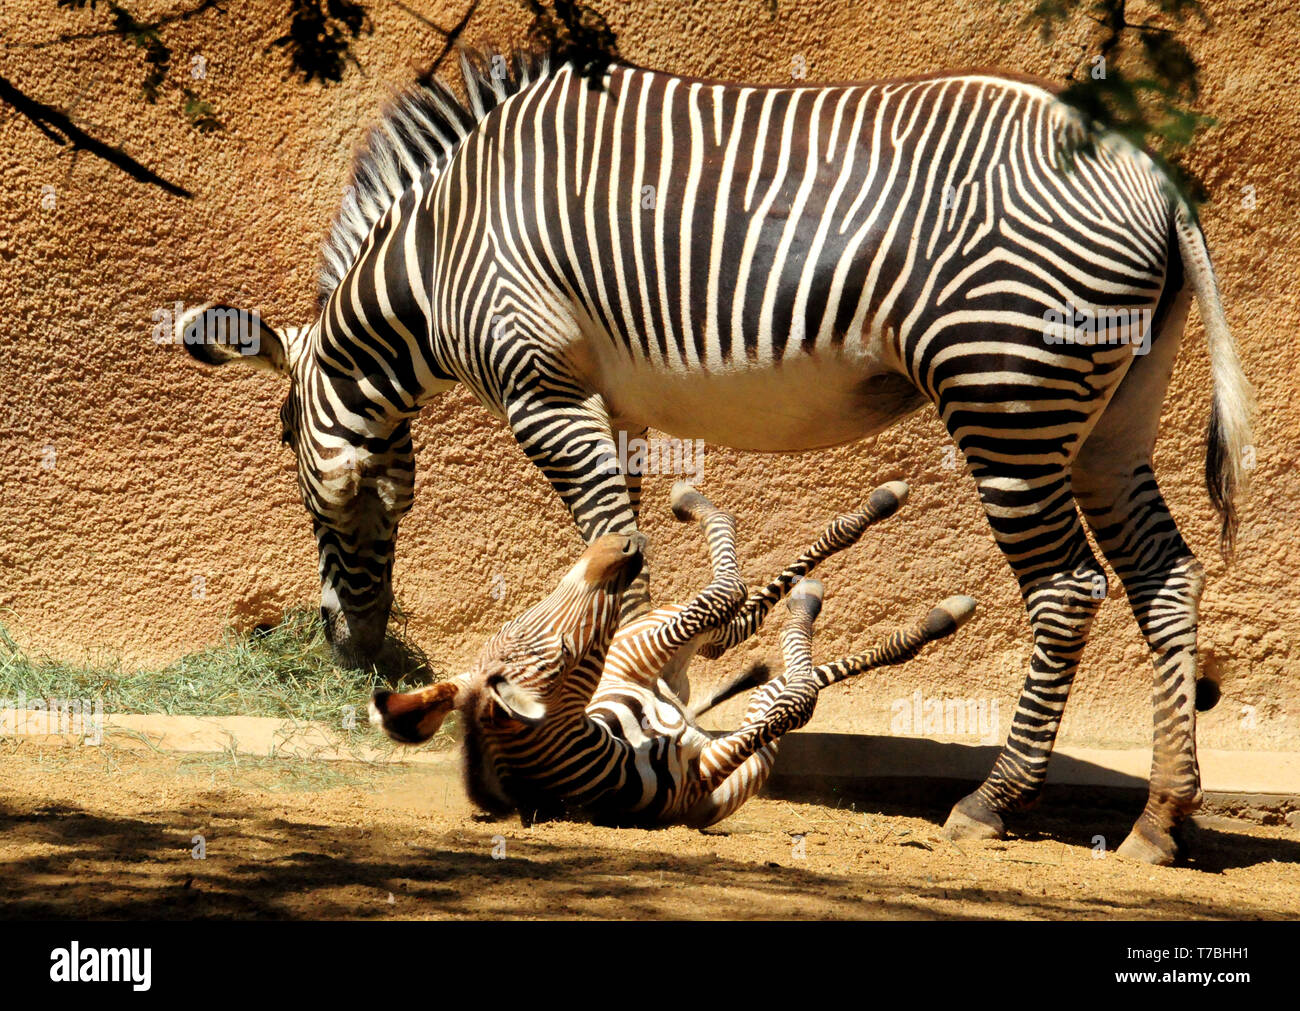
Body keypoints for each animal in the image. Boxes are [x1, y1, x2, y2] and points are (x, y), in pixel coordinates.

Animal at [369, 483, 977, 826]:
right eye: (564, 654)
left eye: (518, 619)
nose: (620, 544)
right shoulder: (712, 770)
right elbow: (798, 696)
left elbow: (774, 661)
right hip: (666, 662)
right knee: (742, 621)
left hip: (645, 646)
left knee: (734, 615)